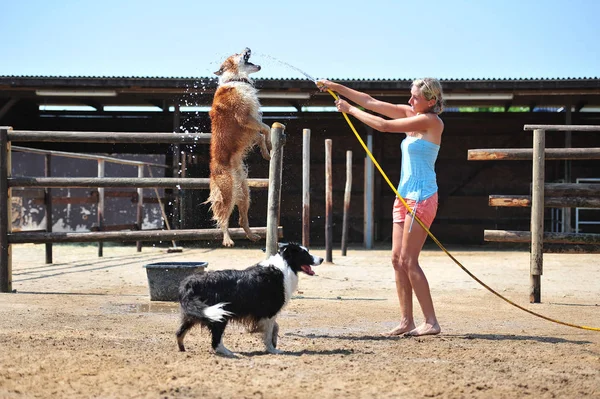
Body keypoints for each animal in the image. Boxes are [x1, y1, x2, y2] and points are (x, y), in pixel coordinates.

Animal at [206, 47, 272, 247]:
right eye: (236, 54)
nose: (247, 47)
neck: (235, 80)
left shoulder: (251, 124)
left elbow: (261, 133)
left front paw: (266, 151)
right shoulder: (244, 117)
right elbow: (265, 128)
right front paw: (269, 144)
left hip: (244, 192)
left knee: (242, 219)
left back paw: (252, 236)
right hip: (227, 192)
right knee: (222, 218)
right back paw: (227, 239)